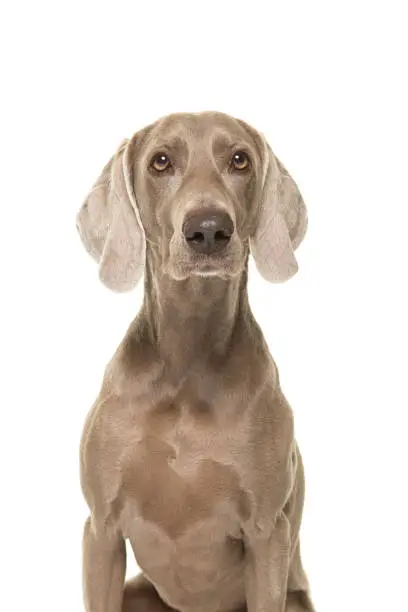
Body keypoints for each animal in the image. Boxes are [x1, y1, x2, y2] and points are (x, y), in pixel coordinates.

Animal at [76, 111, 314, 612]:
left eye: (240, 160)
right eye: (160, 161)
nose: (208, 229)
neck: (188, 367)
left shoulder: (268, 535)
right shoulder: (101, 531)